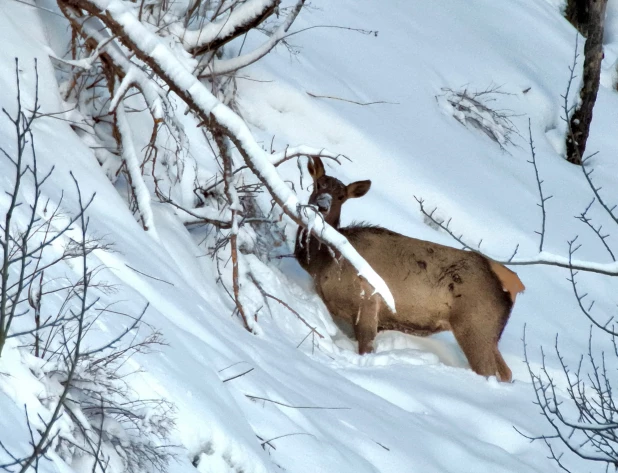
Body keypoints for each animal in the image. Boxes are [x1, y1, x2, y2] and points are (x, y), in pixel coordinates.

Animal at [294, 157, 520, 382]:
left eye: (341, 196)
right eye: (318, 184)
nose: (321, 205)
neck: (322, 265)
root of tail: (513, 287)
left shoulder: (368, 301)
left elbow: (366, 349)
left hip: (475, 326)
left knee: (489, 371)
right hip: (488, 334)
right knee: (506, 372)